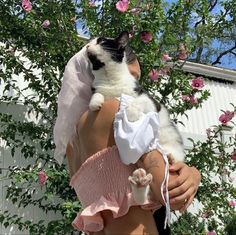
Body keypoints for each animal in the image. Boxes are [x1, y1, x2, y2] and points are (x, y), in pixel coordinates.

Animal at [85, 30, 185, 204]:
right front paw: (95, 102)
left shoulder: (149, 100)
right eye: (90, 41)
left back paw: (171, 156)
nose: (87, 45)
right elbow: (97, 93)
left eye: (101, 41)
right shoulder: (100, 89)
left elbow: (137, 102)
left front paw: (131, 114)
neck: (109, 77)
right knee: (145, 198)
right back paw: (139, 183)